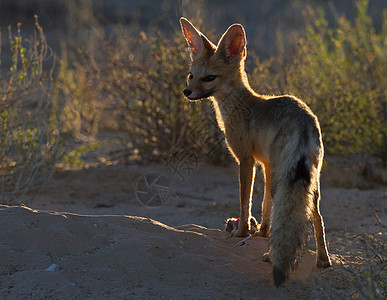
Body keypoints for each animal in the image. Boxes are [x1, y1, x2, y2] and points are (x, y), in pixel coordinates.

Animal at [180, 17, 332, 288]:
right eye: (191, 75)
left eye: (209, 78)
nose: (188, 92)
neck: (241, 105)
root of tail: (303, 121)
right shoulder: (266, 164)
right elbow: (265, 206)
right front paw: (262, 232)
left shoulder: (245, 160)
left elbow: (245, 201)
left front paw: (242, 233)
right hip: (310, 181)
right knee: (316, 216)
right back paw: (323, 260)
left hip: (284, 178)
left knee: (291, 210)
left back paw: (272, 257)